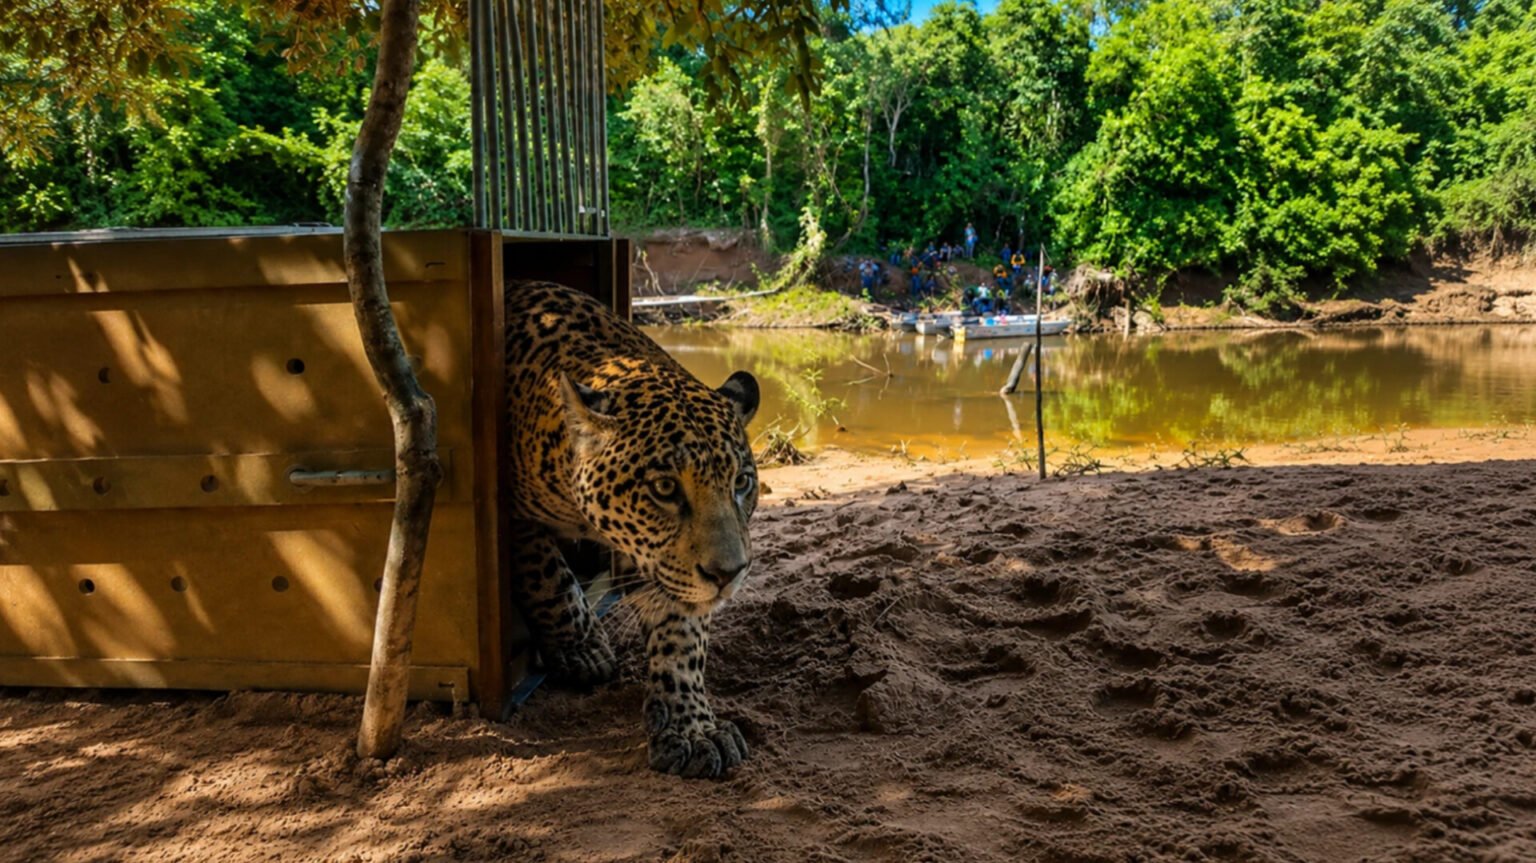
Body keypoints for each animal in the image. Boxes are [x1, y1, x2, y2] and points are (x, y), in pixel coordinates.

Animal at [504, 280, 761, 779]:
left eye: (741, 482)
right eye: (664, 488)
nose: (728, 575)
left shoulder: (670, 570)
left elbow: (682, 638)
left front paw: (692, 728)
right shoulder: (511, 511)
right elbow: (547, 573)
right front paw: (583, 649)